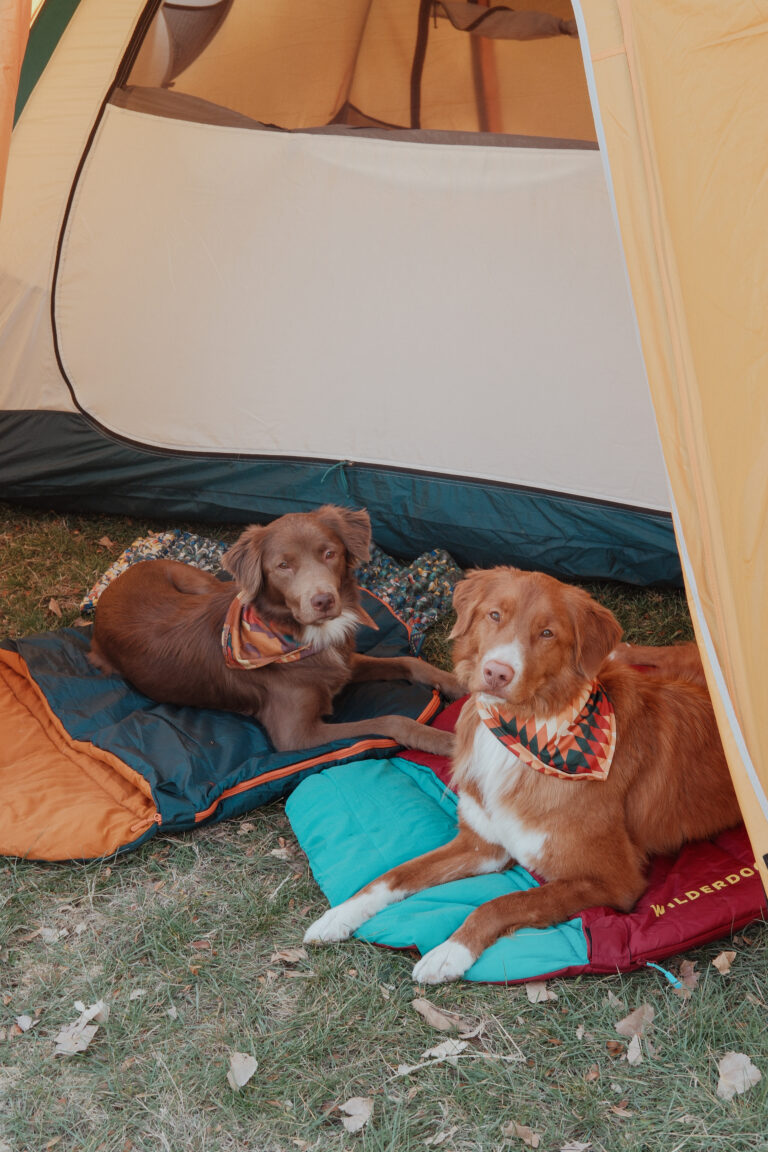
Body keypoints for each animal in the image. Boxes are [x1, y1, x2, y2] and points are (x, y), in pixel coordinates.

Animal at [90, 504, 462, 755]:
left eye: (330, 553)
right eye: (283, 566)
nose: (323, 600)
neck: (298, 635)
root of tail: (113, 585)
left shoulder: (344, 664)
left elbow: (409, 662)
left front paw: (457, 683)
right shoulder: (296, 737)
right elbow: (391, 720)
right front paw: (443, 740)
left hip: (205, 583)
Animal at [303, 566, 741, 981]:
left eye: (547, 633)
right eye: (495, 615)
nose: (497, 672)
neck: (524, 731)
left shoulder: (612, 881)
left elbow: (503, 902)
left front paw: (449, 952)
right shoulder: (481, 845)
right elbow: (393, 875)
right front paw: (339, 915)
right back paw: (621, 651)